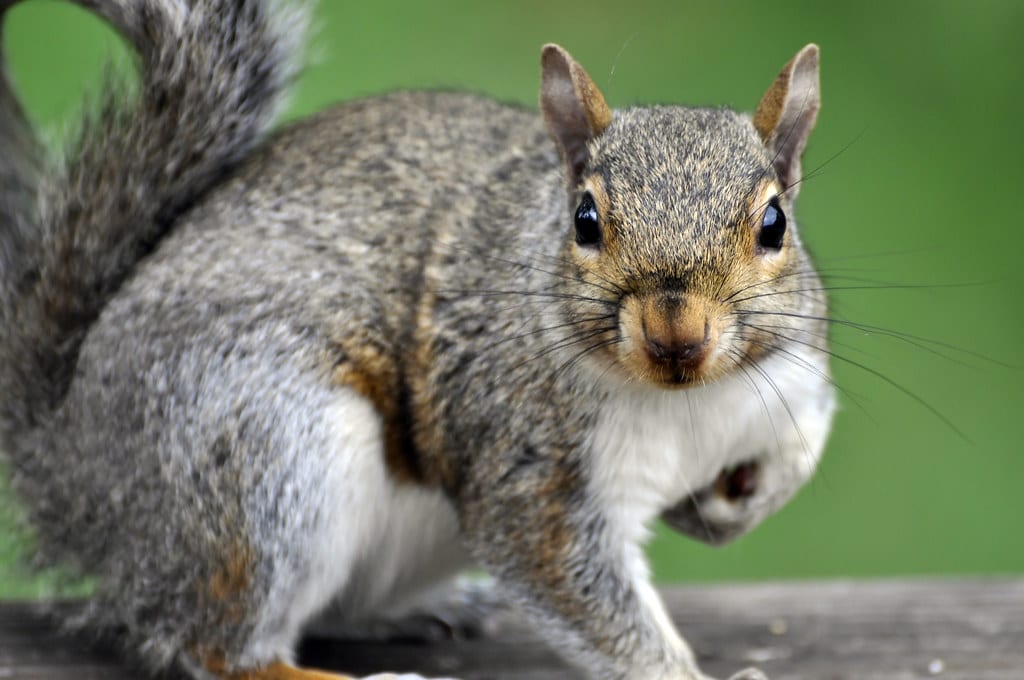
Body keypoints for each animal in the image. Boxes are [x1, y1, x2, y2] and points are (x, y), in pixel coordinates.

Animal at [0, 1, 836, 679]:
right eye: (585, 220)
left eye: (774, 224)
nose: (675, 333)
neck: (691, 400)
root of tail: (76, 474)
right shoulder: (528, 465)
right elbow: (581, 589)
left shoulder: (796, 380)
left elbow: (801, 451)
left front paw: (737, 502)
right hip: (264, 456)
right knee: (216, 646)